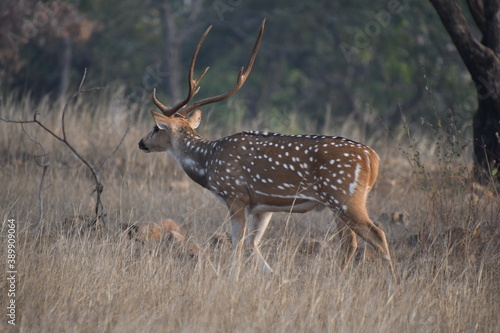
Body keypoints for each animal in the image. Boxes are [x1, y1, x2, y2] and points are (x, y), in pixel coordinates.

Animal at [138, 19, 394, 280]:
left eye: (156, 128)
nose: (142, 143)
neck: (208, 163)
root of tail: (373, 158)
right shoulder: (262, 206)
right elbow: (253, 244)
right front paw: (277, 278)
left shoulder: (235, 195)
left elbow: (238, 243)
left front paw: (232, 278)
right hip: (342, 203)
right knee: (349, 242)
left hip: (345, 197)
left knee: (377, 235)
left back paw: (391, 282)